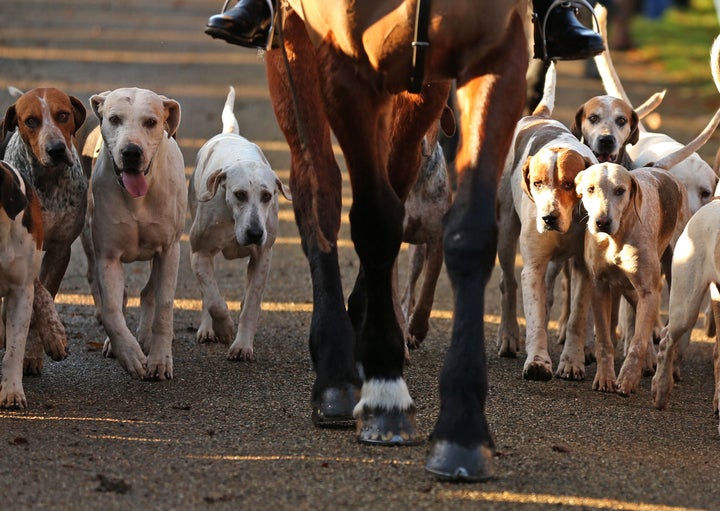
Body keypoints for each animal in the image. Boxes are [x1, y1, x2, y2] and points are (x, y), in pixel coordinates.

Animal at [264, 0, 528, 482]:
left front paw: (463, 428)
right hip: (292, 46)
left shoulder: (490, 56)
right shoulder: (344, 64)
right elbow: (374, 221)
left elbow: (468, 234)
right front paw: (386, 394)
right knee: (319, 186)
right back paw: (336, 370)